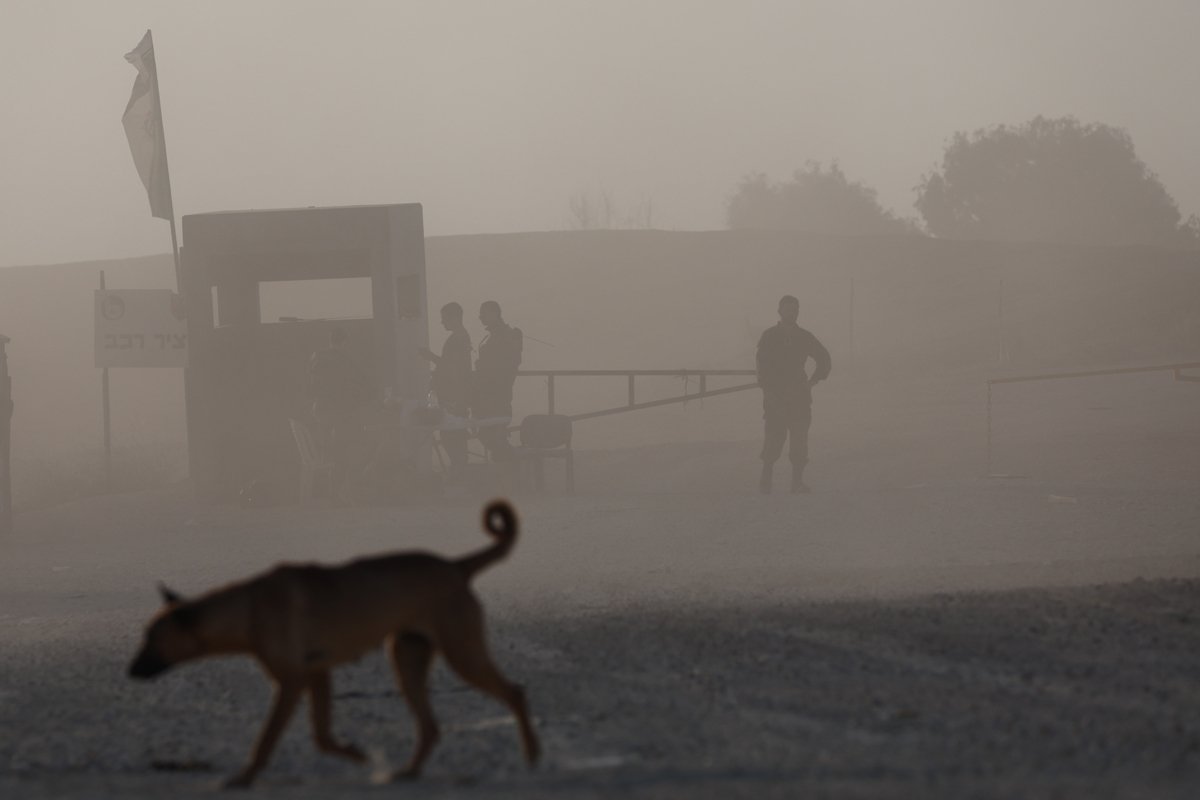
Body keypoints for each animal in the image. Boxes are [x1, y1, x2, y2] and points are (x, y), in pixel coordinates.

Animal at [129, 501, 537, 786]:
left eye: (151, 638)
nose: (130, 671)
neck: (247, 607)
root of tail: (455, 566)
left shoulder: (291, 682)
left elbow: (266, 739)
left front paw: (243, 779)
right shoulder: (318, 674)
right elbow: (323, 737)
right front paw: (358, 756)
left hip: (462, 653)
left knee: (515, 692)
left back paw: (532, 756)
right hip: (406, 659)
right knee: (431, 727)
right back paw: (407, 772)